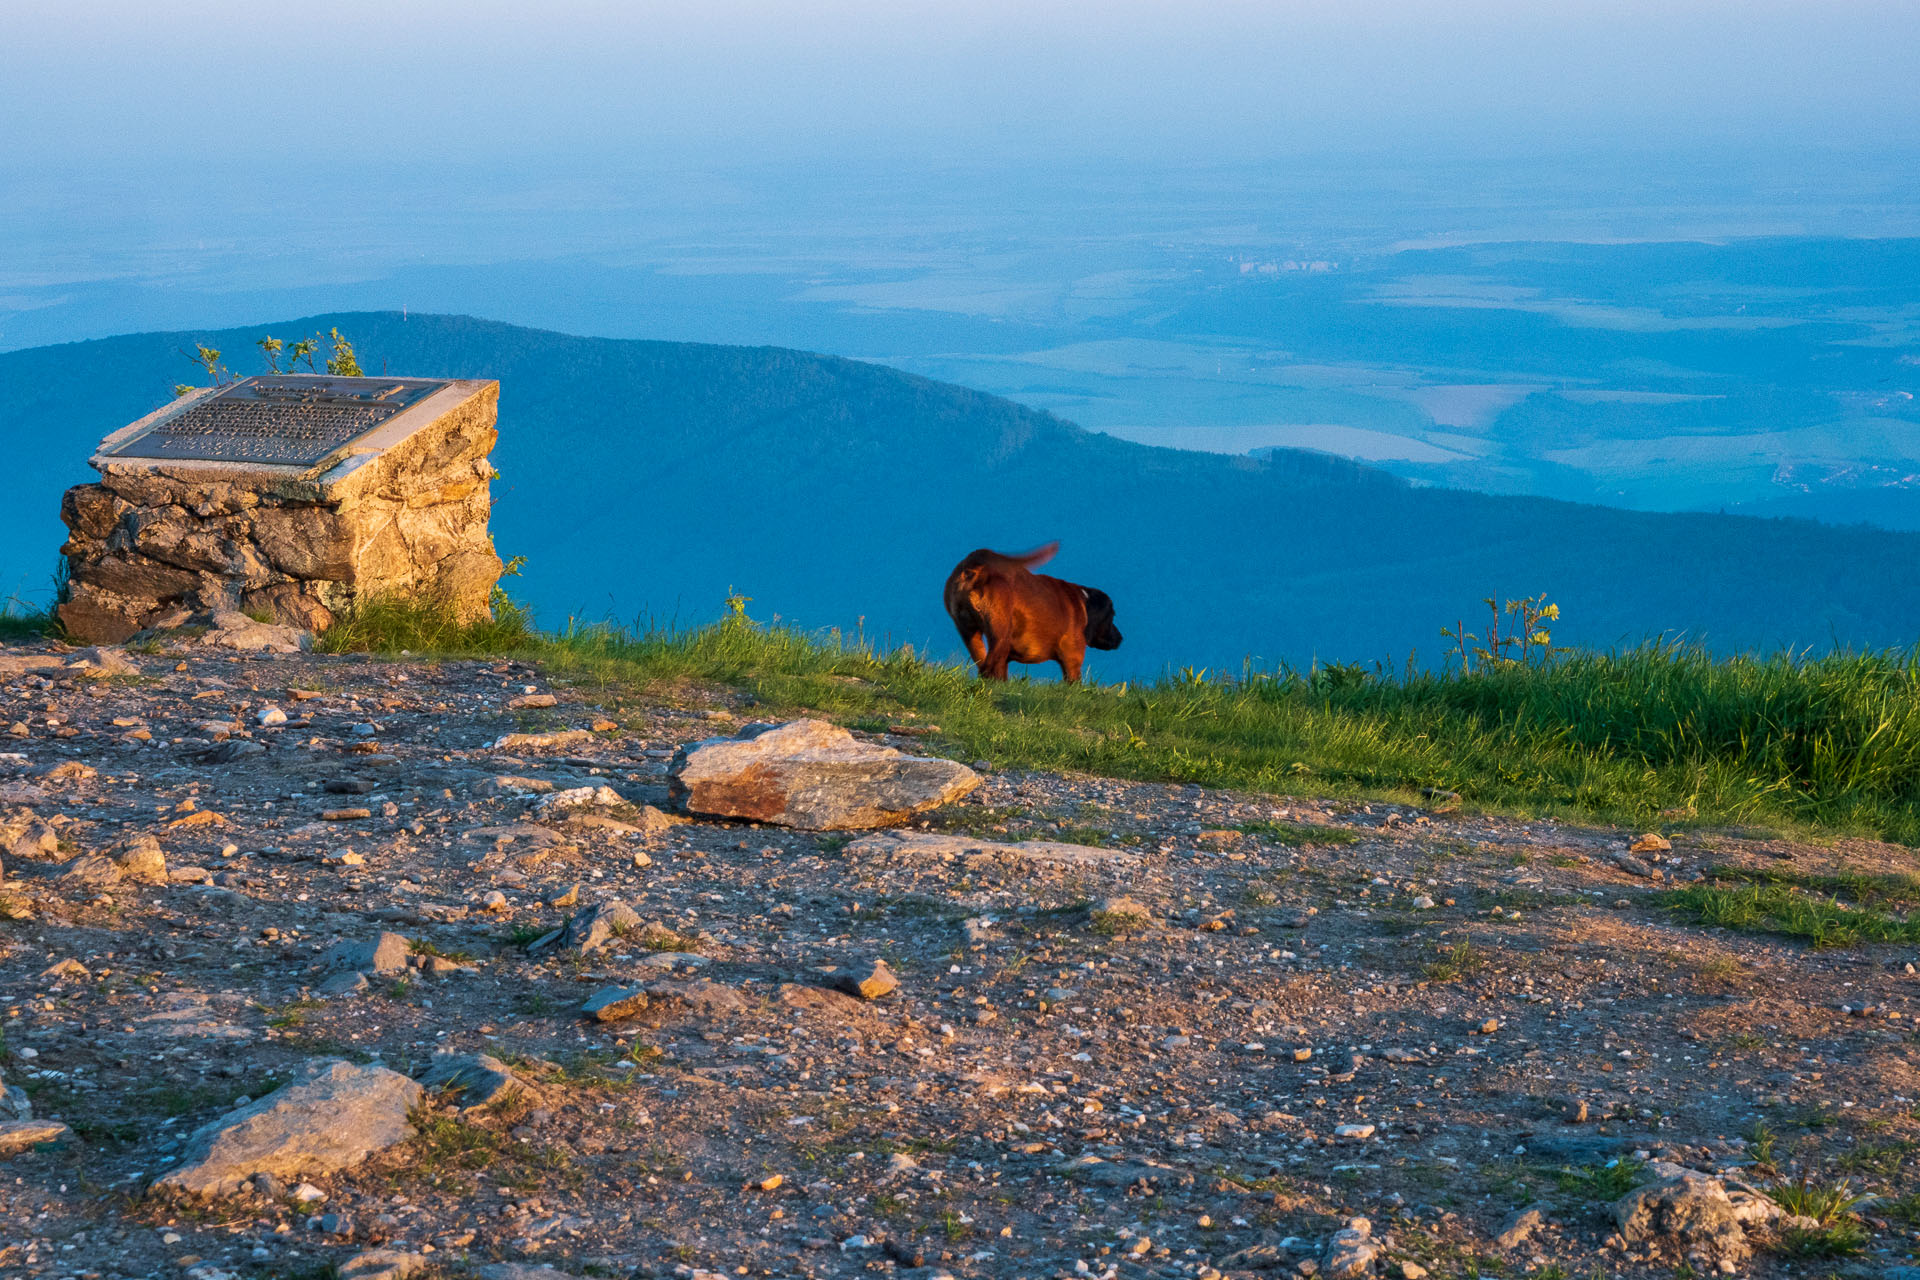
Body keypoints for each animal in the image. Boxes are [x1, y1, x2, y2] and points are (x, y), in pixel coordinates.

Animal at [936, 541, 1121, 679]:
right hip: (1000, 636)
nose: (1121, 638)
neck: (1083, 601)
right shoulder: (1073, 660)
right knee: (988, 668)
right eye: (1112, 615)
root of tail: (977, 563)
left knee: (984, 664)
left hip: (971, 634)